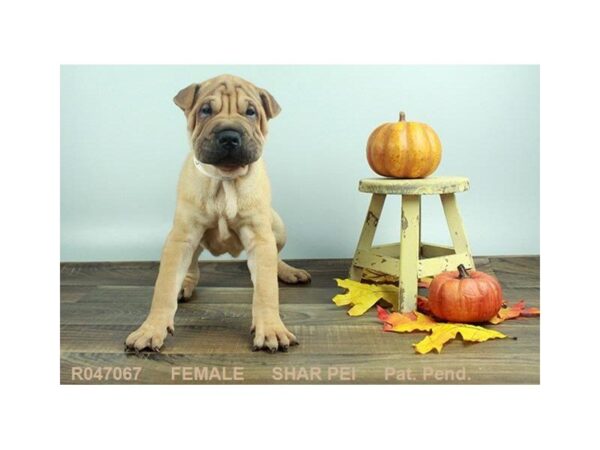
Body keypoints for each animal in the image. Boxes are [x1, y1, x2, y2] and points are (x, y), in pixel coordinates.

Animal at [122, 74, 310, 352]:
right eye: (205, 110)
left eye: (251, 112)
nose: (229, 136)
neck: (225, 178)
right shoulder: (182, 237)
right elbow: (164, 288)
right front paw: (151, 329)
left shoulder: (260, 237)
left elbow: (266, 290)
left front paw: (271, 329)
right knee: (191, 266)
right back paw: (185, 284)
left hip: (278, 226)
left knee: (274, 258)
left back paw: (287, 271)